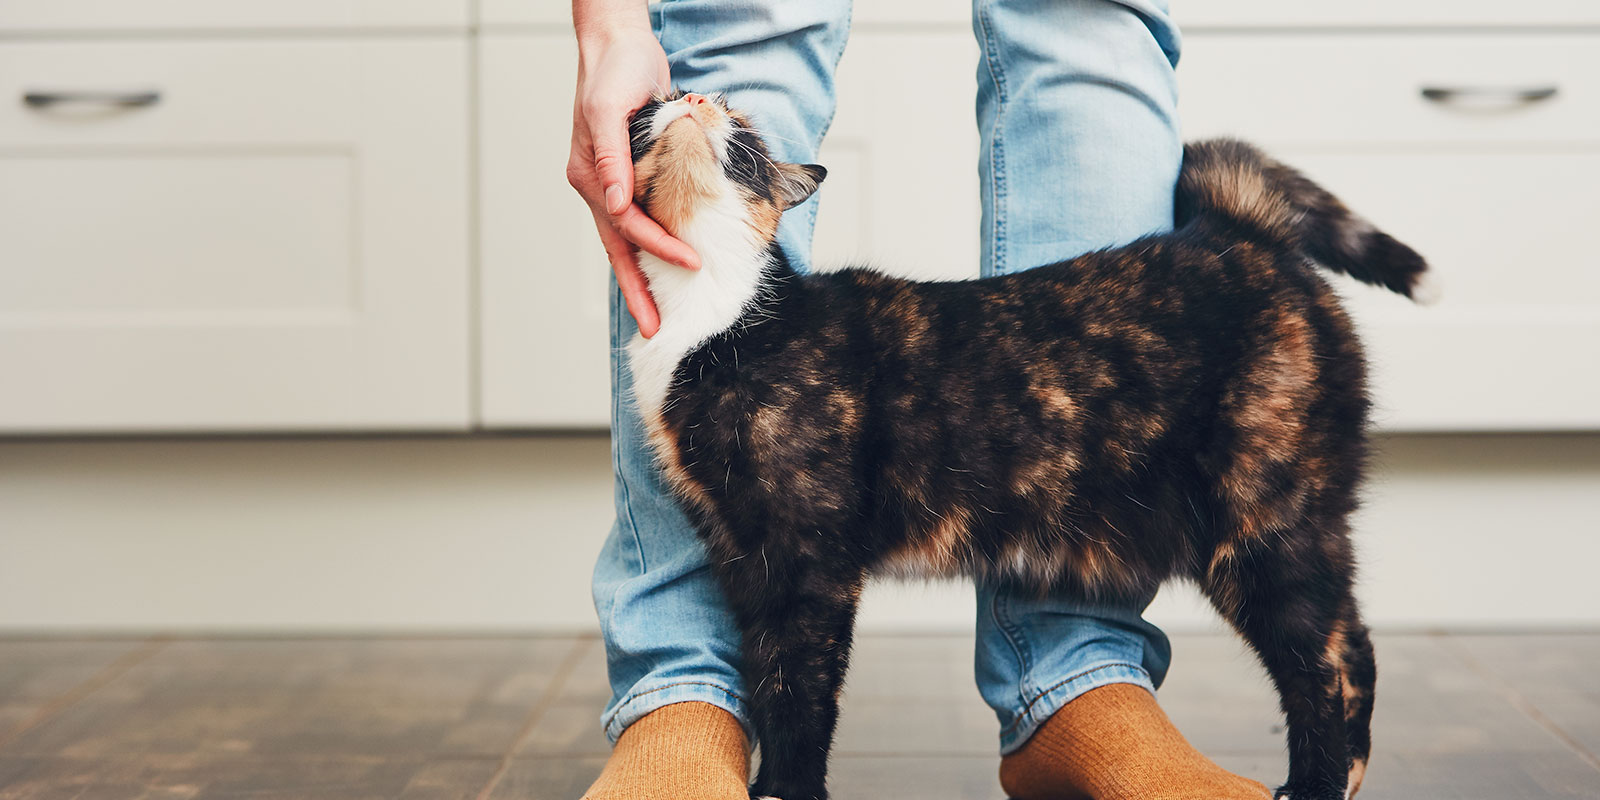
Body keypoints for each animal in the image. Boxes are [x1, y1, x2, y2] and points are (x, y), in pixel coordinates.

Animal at [617, 90, 1433, 800]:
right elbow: (765, 679)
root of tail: (1237, 231)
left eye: (742, 129)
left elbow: (799, 690)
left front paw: (788, 790)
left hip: (1262, 522)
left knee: (1323, 663)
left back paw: (1316, 784)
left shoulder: (808, 558)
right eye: (654, 103)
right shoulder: (741, 554)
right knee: (1350, 643)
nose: (693, 98)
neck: (714, 315)